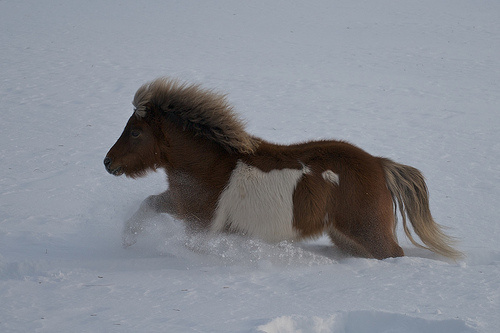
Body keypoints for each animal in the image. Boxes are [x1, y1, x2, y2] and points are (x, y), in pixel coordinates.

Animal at [103, 78, 462, 260]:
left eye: (135, 132)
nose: (107, 162)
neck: (208, 165)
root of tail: (378, 164)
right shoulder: (181, 205)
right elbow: (148, 205)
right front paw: (128, 241)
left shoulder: (197, 220)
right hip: (344, 235)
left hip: (369, 232)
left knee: (394, 252)